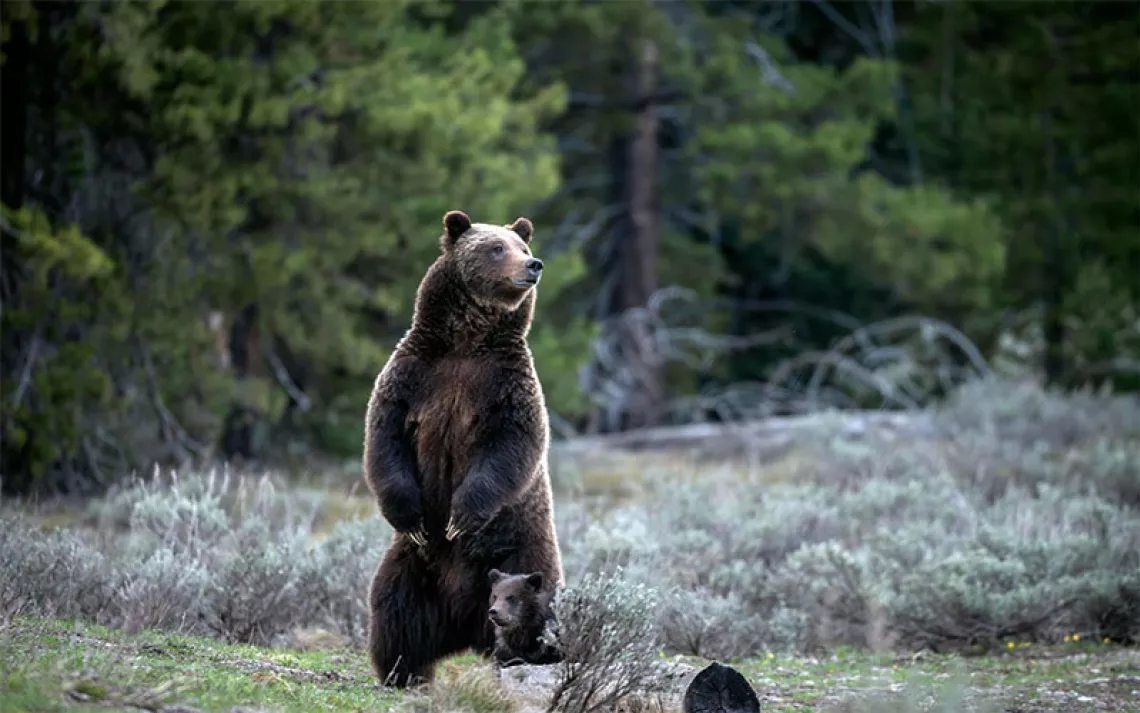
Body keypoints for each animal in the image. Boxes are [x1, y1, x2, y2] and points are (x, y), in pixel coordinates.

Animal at [362, 208, 563, 689]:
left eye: (522, 246)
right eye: (496, 247)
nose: (534, 265)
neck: (467, 342)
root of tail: (463, 626)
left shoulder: (506, 386)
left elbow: (510, 447)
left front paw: (461, 517)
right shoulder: (414, 376)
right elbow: (385, 438)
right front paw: (412, 516)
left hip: (522, 553)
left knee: (534, 607)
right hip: (413, 567)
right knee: (394, 610)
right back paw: (402, 671)